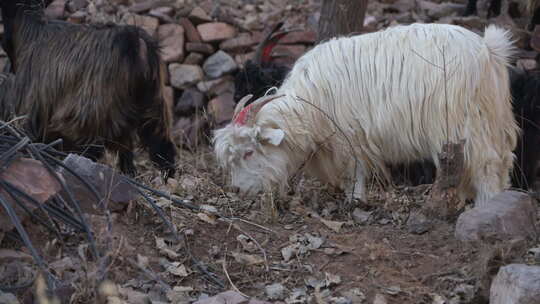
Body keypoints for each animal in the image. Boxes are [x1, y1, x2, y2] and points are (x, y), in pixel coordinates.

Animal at [1, 0, 176, 178]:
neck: (31, 31)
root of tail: (136, 45)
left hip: (93, 110)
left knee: (94, 148)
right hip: (153, 104)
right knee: (159, 144)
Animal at [214, 23, 520, 208]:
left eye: (249, 152)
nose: (238, 190)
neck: (310, 104)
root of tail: (488, 50)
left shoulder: (349, 137)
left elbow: (354, 172)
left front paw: (355, 200)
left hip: (465, 122)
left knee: (486, 163)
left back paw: (484, 206)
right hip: (493, 118)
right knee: (503, 161)